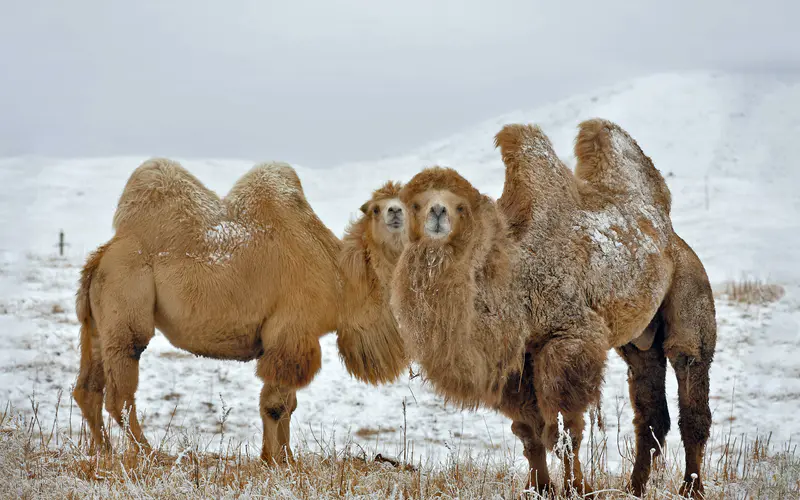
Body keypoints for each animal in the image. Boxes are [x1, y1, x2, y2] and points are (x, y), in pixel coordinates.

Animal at [75, 158, 406, 462]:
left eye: (409, 203)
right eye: (375, 208)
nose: (396, 212)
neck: (340, 279)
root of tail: (101, 256)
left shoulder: (295, 338)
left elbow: (289, 404)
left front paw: (285, 459)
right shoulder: (291, 331)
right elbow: (275, 405)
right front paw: (274, 461)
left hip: (98, 320)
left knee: (88, 389)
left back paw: (104, 453)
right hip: (126, 297)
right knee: (120, 392)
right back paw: (151, 455)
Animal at [390, 120, 716, 496]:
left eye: (460, 207)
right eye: (415, 204)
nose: (437, 214)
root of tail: (672, 237)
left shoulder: (567, 339)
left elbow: (565, 431)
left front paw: (579, 489)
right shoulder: (517, 360)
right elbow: (528, 433)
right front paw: (539, 489)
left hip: (691, 288)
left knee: (690, 377)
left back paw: (691, 488)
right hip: (638, 341)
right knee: (650, 408)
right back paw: (634, 488)